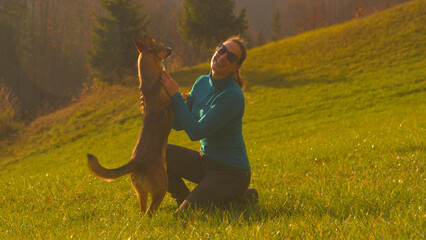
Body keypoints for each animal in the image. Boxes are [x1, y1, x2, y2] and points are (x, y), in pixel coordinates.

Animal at [87, 36, 174, 218]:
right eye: (161, 47)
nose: (171, 48)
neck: (151, 79)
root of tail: (135, 162)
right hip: (162, 187)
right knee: (149, 212)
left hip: (141, 192)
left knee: (142, 212)